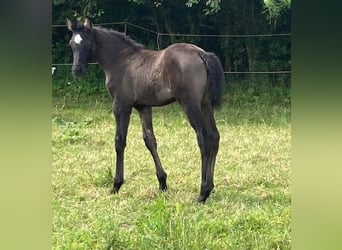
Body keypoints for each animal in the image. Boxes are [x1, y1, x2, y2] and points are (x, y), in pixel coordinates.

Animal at [67, 19, 226, 203]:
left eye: (89, 44)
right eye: (72, 44)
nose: (76, 70)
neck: (121, 61)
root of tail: (202, 54)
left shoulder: (122, 105)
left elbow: (119, 141)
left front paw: (116, 185)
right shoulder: (143, 107)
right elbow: (150, 140)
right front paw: (162, 183)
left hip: (190, 104)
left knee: (203, 138)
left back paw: (202, 193)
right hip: (205, 105)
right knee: (214, 136)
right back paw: (211, 187)